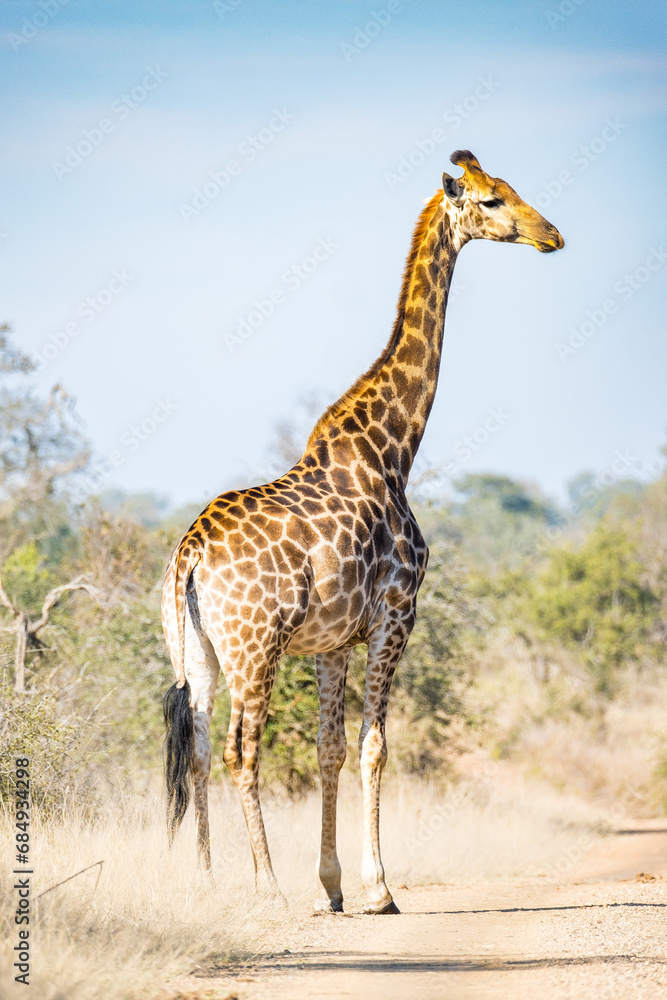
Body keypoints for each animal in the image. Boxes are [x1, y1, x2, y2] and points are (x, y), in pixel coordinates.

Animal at [162, 149, 563, 915]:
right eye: (493, 201)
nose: (551, 235)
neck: (392, 448)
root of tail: (189, 556)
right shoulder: (395, 616)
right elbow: (375, 746)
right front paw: (378, 889)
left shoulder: (330, 641)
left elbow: (330, 748)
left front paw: (333, 887)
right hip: (254, 647)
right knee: (239, 750)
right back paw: (265, 888)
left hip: (196, 649)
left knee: (194, 747)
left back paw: (204, 882)